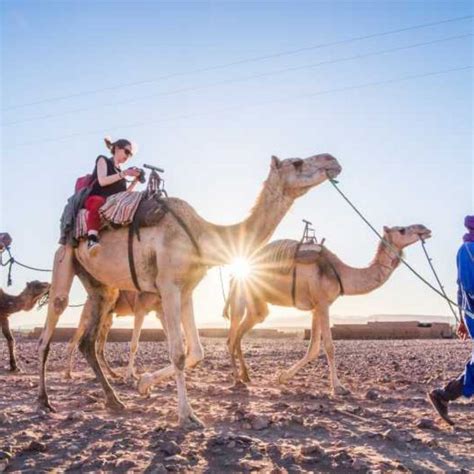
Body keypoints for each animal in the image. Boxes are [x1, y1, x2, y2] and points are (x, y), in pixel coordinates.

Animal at [37, 154, 340, 428]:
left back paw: (113, 400)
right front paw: (187, 415)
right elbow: (179, 353)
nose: (332, 161)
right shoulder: (169, 285)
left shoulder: (187, 290)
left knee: (88, 339)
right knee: (52, 321)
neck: (201, 235)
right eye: (297, 162)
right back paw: (44, 401)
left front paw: (144, 383)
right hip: (64, 258)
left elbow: (196, 351)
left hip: (101, 286)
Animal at [224, 224, 432, 394]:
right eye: (402, 230)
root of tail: (236, 272)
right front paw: (339, 387)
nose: (425, 229)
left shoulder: (316, 307)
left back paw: (245, 376)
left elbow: (314, 348)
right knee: (231, 336)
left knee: (242, 331)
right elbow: (329, 346)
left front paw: (283, 376)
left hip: (257, 304)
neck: (340, 273)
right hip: (240, 294)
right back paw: (237, 380)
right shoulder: (323, 303)